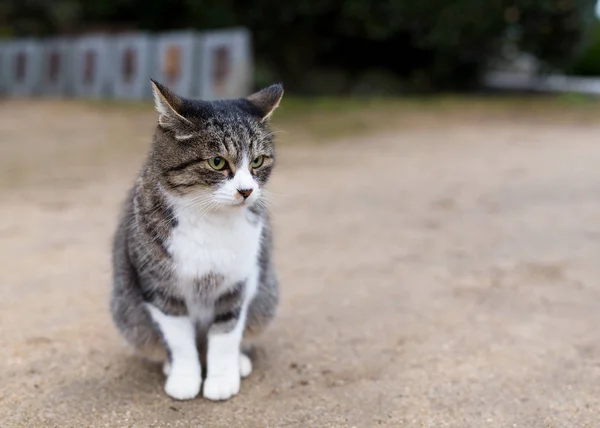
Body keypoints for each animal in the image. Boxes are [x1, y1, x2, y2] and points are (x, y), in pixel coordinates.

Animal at [110, 79, 284, 402]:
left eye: (257, 161)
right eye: (217, 162)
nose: (246, 191)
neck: (210, 219)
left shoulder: (237, 284)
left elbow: (226, 335)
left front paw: (222, 379)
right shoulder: (160, 288)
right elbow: (180, 341)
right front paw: (184, 378)